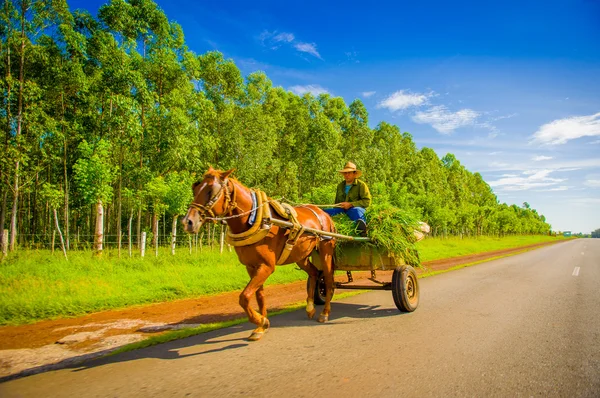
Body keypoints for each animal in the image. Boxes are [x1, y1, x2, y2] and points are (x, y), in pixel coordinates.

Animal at [180, 166, 336, 340]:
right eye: (195, 188)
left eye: (210, 190)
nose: (188, 222)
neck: (255, 219)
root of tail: (323, 213)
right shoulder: (252, 266)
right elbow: (258, 295)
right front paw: (261, 326)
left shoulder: (266, 266)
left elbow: (244, 297)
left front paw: (260, 320)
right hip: (300, 256)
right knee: (314, 273)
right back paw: (310, 308)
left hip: (326, 251)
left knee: (328, 279)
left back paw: (325, 313)